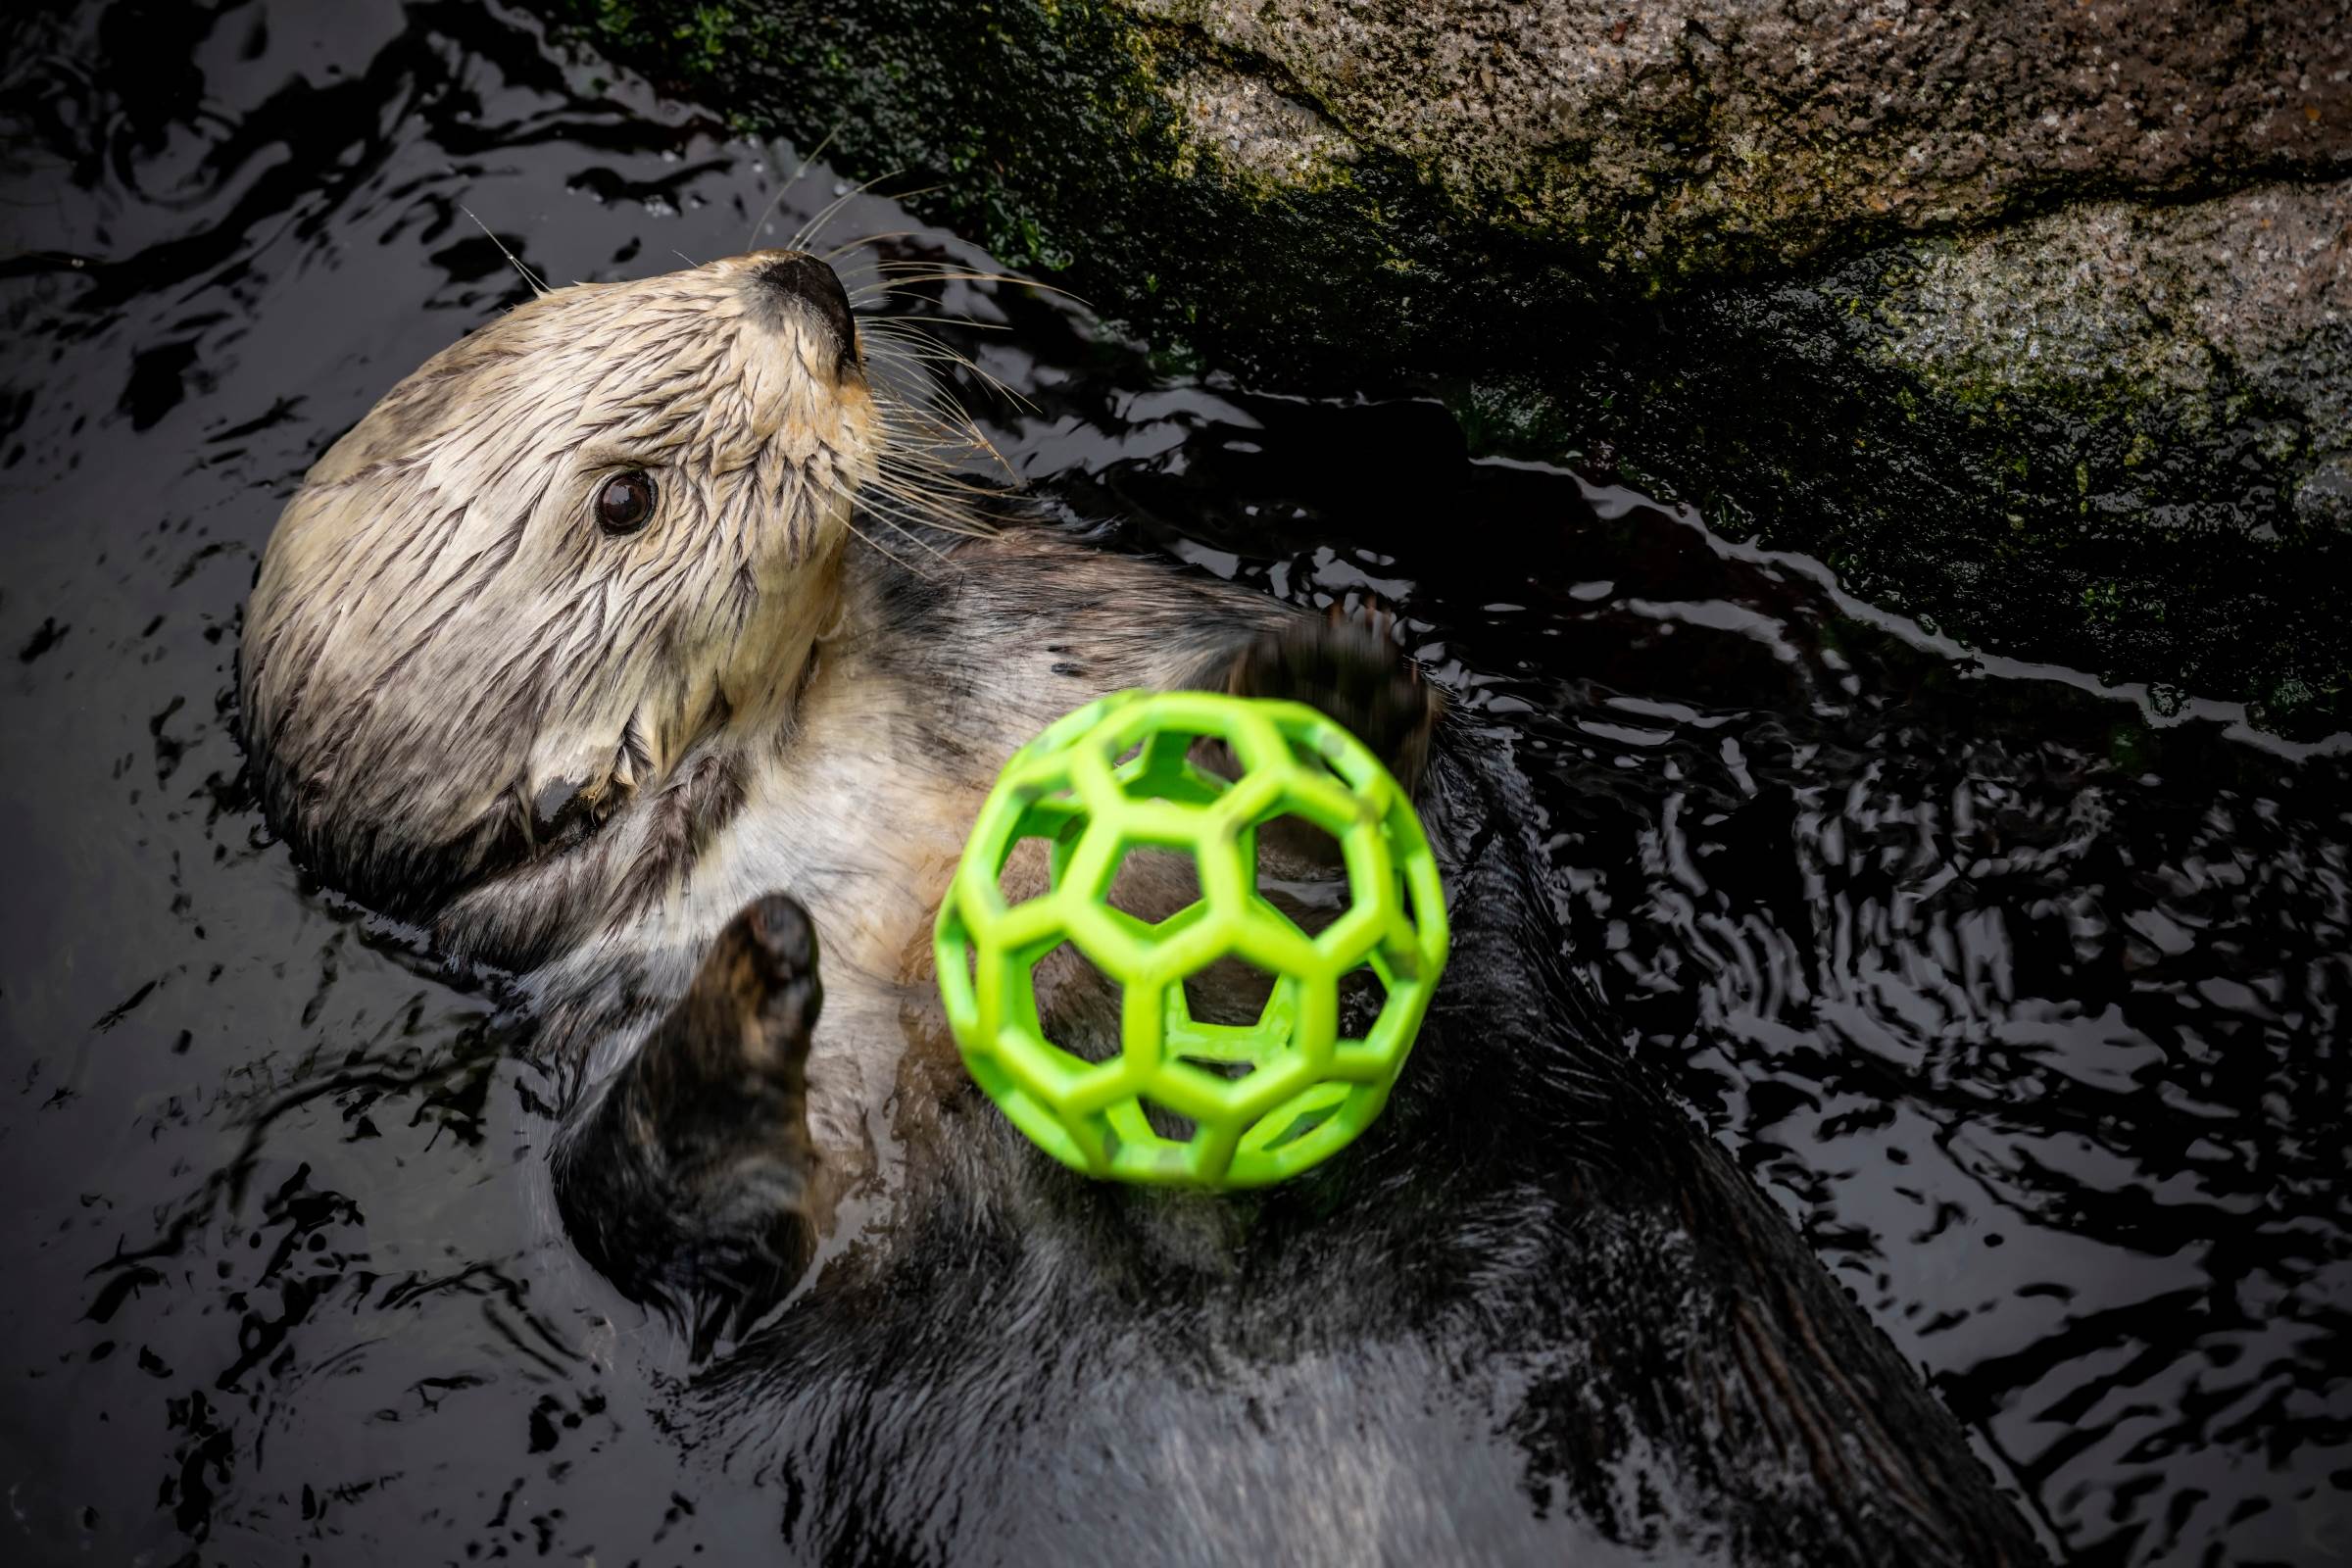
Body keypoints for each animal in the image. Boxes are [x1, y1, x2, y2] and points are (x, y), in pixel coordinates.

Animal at [233, 251, 2041, 1560]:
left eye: (594, 293)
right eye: (625, 501)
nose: (805, 291)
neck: (853, 786)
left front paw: (1311, 704)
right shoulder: (757, 1157)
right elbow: (682, 1222)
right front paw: (746, 990)